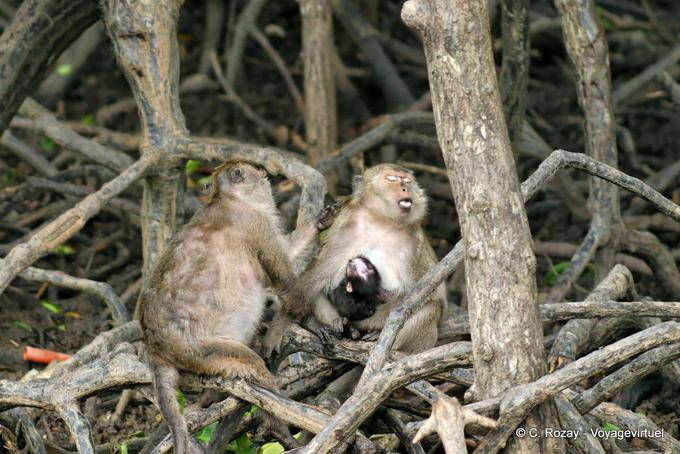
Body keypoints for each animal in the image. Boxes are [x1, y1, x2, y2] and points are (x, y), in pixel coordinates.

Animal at [139, 161, 317, 454]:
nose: (263, 172)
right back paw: (283, 430)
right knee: (254, 369)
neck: (225, 198)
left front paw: (322, 219)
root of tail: (155, 347)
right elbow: (282, 276)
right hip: (202, 351)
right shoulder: (256, 224)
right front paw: (306, 317)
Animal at [303, 163, 446, 354]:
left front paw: (367, 324)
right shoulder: (343, 227)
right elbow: (315, 277)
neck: (383, 223)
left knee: (430, 308)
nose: (405, 187)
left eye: (407, 180)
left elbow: (432, 295)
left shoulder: (416, 244)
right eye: (392, 178)